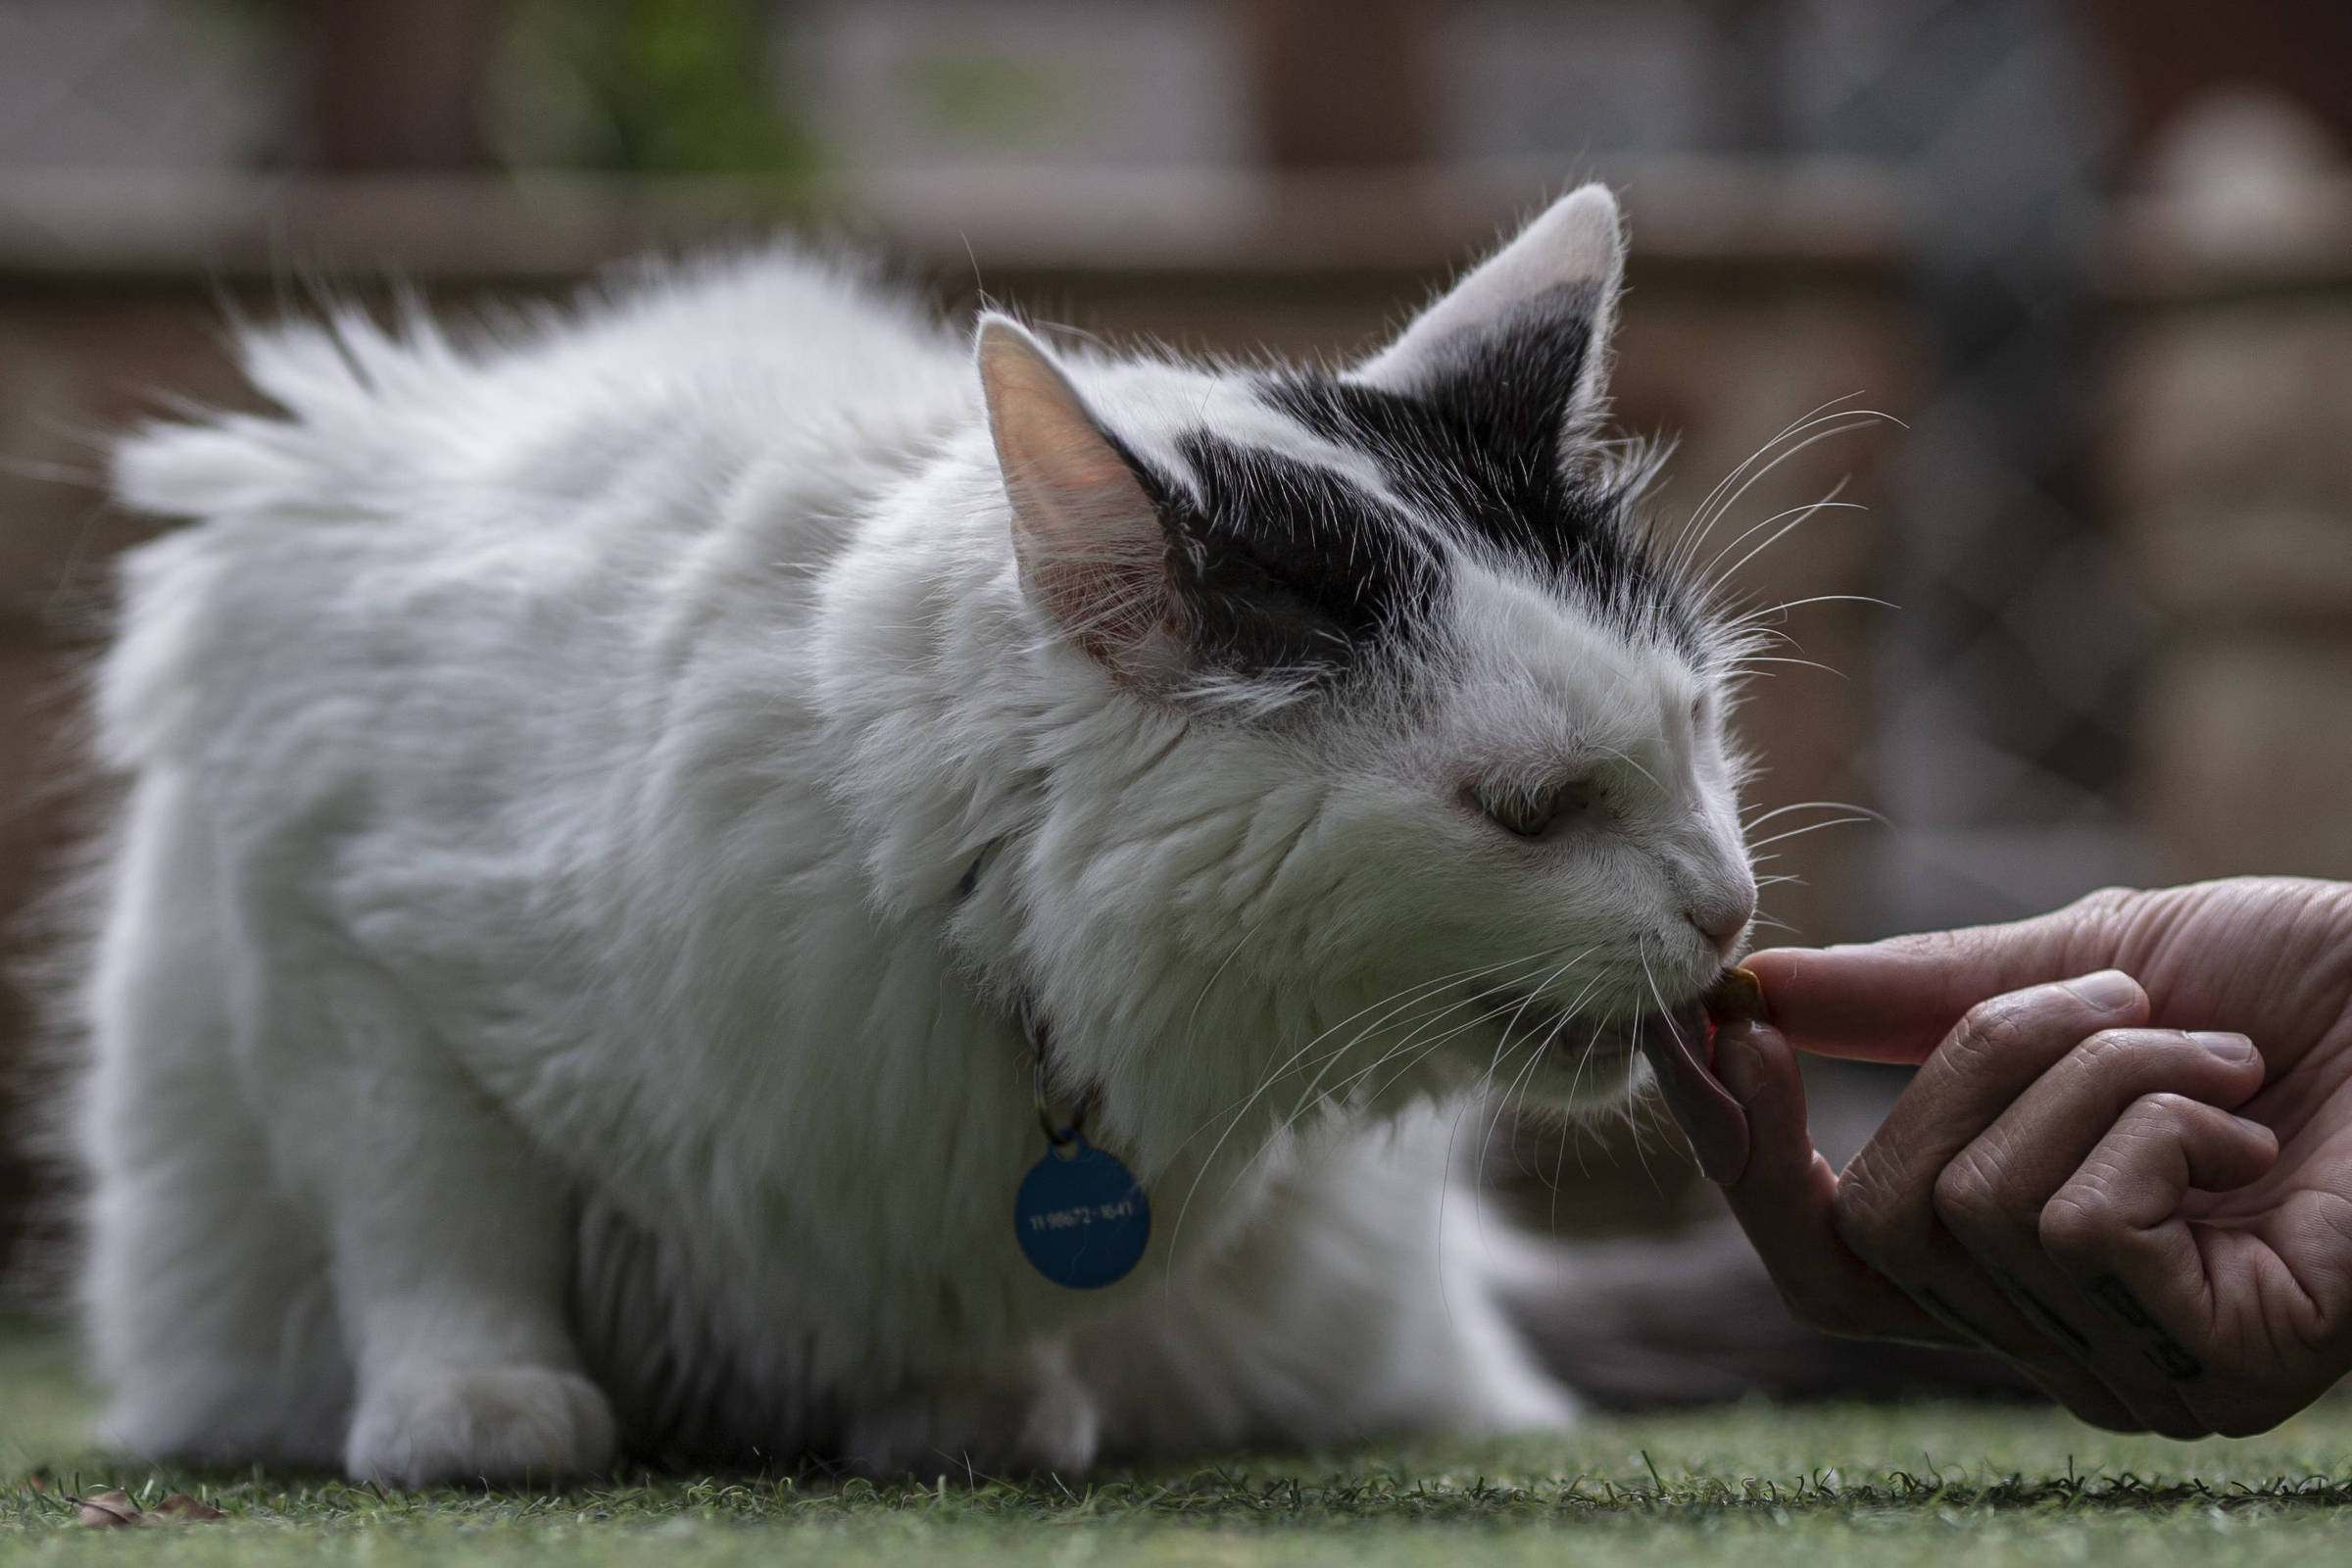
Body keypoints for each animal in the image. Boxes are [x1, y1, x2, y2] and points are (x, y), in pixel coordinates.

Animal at [74, 184, 1759, 1486]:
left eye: (1695, 728)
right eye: (1527, 811)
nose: (1730, 911)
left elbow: (985, 1302)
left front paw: (976, 1411)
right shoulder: (336, 916)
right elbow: (436, 1217)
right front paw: (474, 1407)